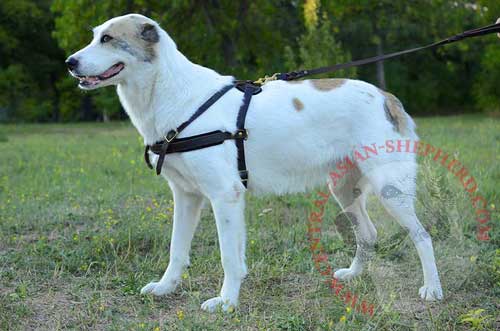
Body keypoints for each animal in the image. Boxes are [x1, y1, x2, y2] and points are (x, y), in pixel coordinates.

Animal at [65, 13, 442, 314]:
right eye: (94, 35)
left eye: (107, 39)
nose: (70, 62)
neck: (174, 96)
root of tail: (385, 96)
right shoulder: (186, 196)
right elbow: (177, 250)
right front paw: (166, 288)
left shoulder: (225, 196)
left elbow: (229, 258)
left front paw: (226, 303)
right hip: (343, 188)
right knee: (368, 233)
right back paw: (353, 276)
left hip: (389, 189)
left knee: (422, 235)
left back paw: (433, 290)